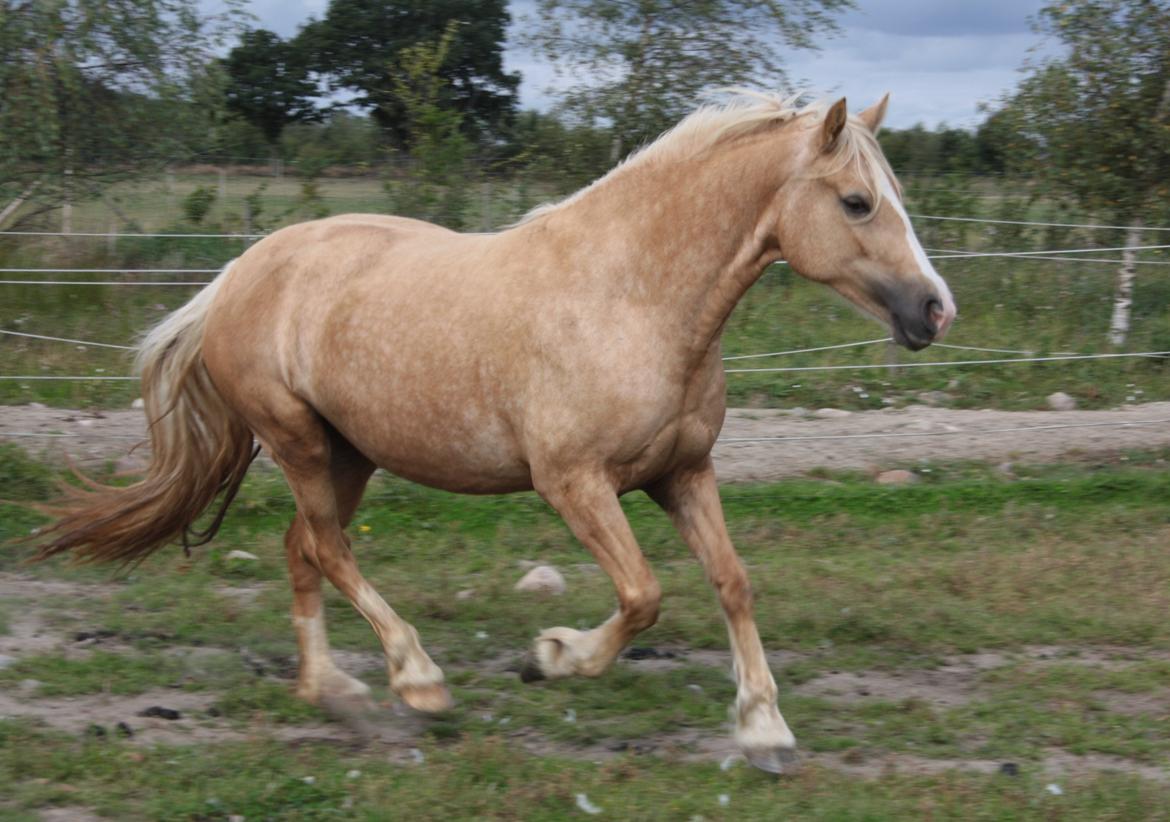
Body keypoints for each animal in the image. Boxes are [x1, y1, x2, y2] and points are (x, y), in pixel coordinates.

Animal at [36, 93, 954, 776]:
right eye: (857, 202)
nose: (935, 310)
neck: (632, 297)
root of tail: (235, 273)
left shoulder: (684, 473)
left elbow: (732, 583)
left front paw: (765, 728)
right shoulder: (573, 482)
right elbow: (643, 595)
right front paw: (549, 657)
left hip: (349, 453)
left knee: (302, 551)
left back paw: (334, 693)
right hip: (297, 440)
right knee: (329, 549)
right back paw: (416, 682)